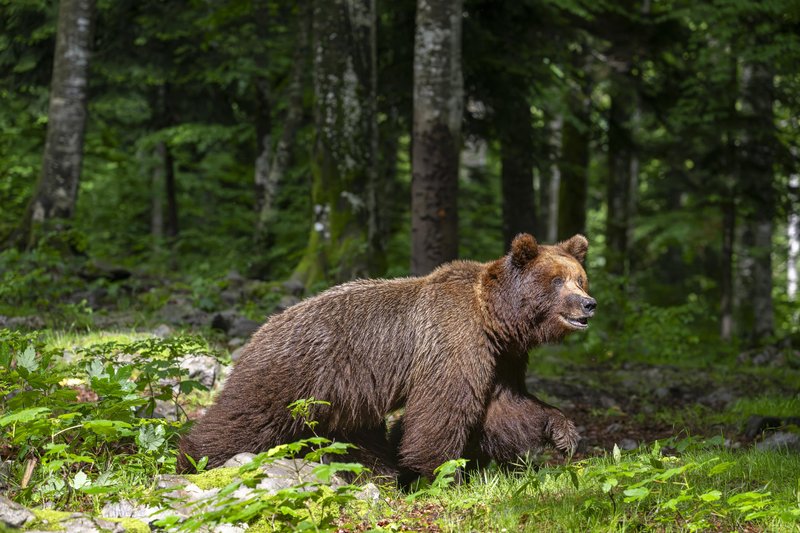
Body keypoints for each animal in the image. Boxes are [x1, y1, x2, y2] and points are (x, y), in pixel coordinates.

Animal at [180, 233, 592, 478]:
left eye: (580, 278)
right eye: (557, 280)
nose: (589, 304)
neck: (495, 319)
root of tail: (261, 329)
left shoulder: (501, 358)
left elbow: (507, 406)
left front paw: (563, 432)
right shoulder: (454, 340)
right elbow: (442, 409)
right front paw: (434, 473)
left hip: (343, 398)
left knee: (355, 437)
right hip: (290, 373)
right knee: (243, 416)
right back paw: (192, 457)